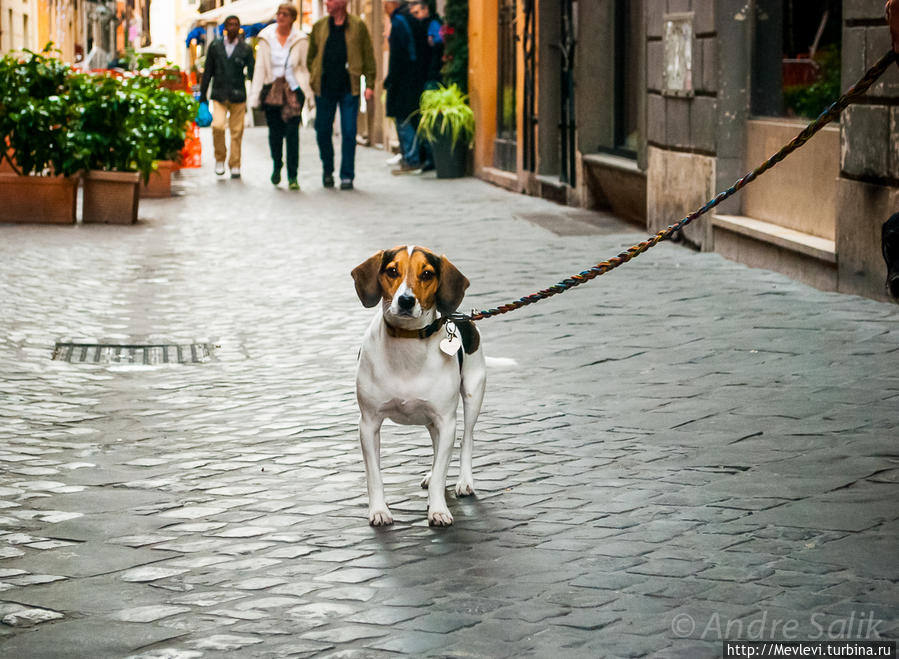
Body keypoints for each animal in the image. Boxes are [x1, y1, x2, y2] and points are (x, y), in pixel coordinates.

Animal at [354, 245, 488, 528]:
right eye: (392, 270)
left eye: (426, 274)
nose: (406, 300)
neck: (407, 342)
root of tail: (463, 315)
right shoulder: (368, 423)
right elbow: (374, 475)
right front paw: (379, 511)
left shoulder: (447, 420)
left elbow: (442, 470)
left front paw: (438, 510)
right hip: (430, 419)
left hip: (473, 394)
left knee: (466, 440)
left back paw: (464, 481)